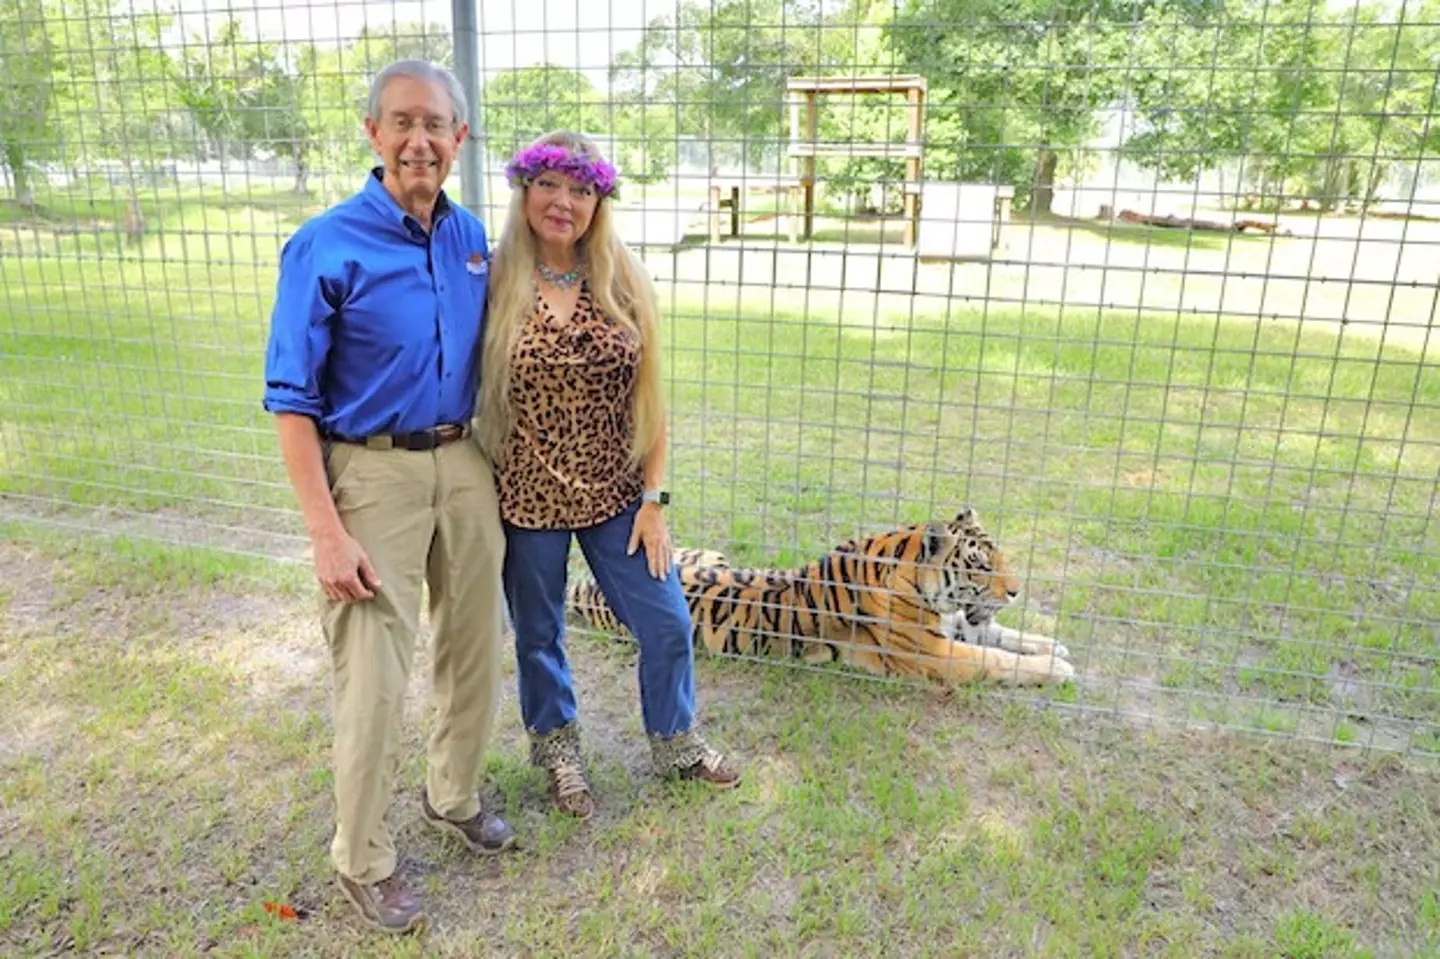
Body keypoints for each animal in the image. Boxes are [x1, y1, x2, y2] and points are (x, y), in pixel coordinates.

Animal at [567, 503, 1077, 682]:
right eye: (980, 565)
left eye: (1002, 557)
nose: (1016, 591)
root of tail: (587, 584)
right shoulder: (933, 654)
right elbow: (998, 660)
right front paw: (1057, 669)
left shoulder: (959, 625)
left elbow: (1006, 637)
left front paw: (1054, 645)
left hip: (713, 556)